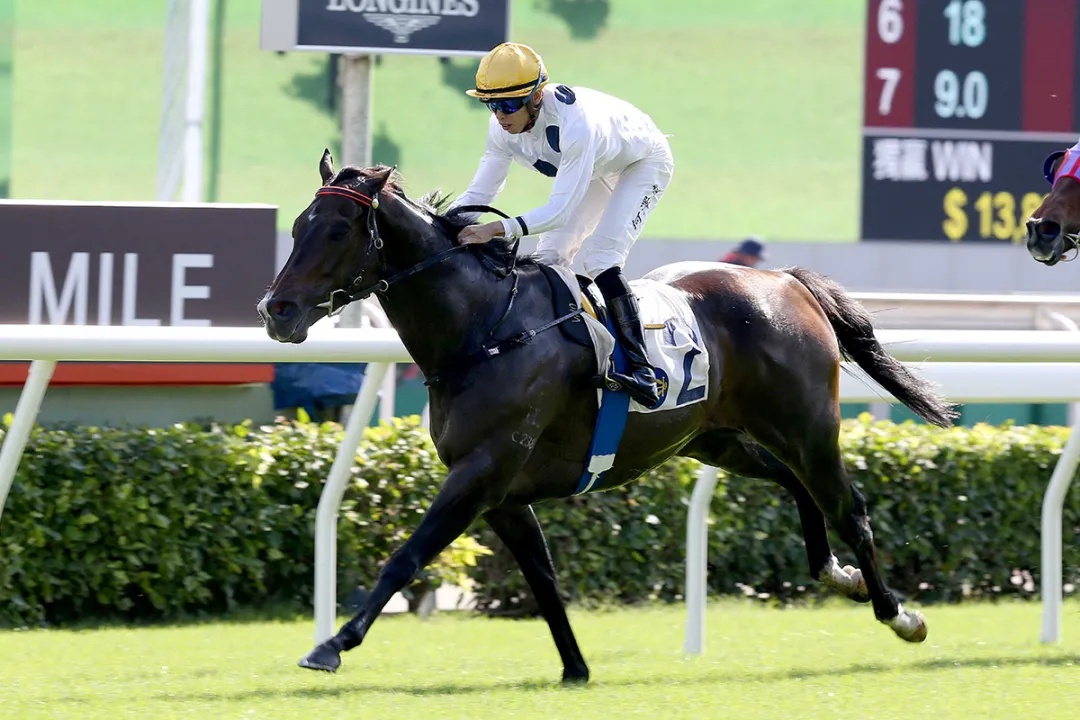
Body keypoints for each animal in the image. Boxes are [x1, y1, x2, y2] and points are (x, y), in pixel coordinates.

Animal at [257, 151, 959, 682]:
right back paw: (837, 574)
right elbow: (542, 577)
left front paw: (331, 644)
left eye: (338, 231)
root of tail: (784, 281)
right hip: (715, 438)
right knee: (795, 486)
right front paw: (575, 668)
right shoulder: (502, 492)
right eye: (296, 226)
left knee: (849, 506)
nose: (277, 311)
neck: (483, 330)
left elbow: (406, 555)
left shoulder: (481, 473)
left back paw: (898, 613)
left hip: (807, 427)